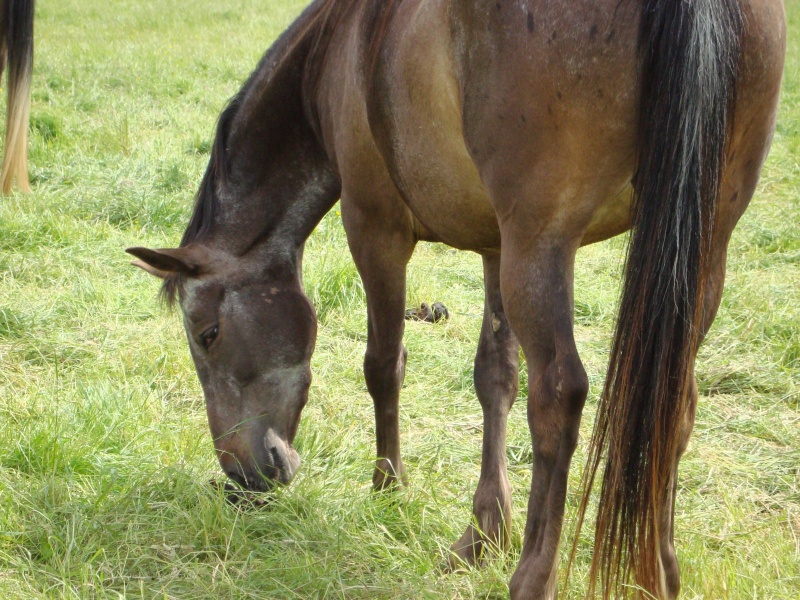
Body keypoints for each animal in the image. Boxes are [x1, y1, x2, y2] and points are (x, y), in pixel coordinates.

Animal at [128, 2, 784, 596]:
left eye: (208, 334)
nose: (242, 478)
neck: (337, 53)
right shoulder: (495, 244)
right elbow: (496, 377)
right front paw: (484, 533)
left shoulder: (375, 229)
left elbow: (383, 365)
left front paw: (388, 487)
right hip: (699, 248)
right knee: (676, 399)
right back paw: (656, 572)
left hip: (541, 244)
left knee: (559, 395)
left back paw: (533, 577)